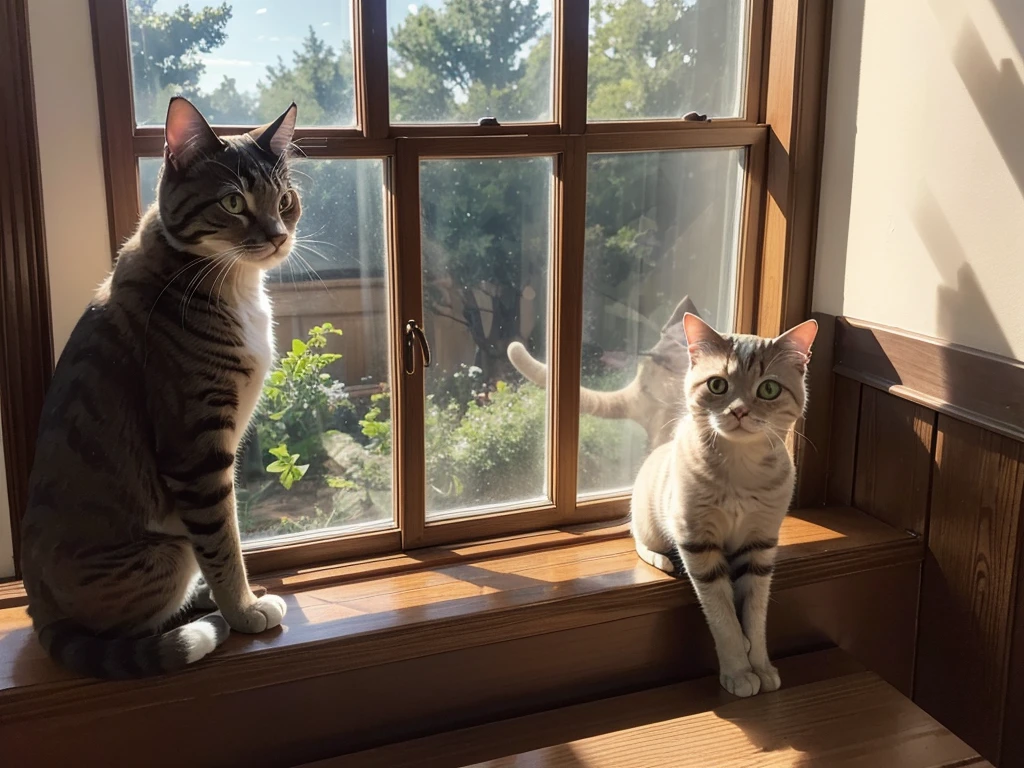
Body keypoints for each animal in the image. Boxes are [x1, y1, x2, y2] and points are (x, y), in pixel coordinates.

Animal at [20, 96, 299, 679]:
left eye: (285, 199)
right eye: (234, 201)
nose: (278, 236)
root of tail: (39, 610)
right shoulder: (196, 449)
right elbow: (222, 541)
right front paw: (243, 609)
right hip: (168, 554)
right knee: (141, 620)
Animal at [626, 313, 819, 696]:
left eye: (769, 389)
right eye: (717, 385)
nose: (740, 410)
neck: (740, 469)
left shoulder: (761, 547)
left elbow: (755, 615)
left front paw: (760, 664)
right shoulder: (697, 541)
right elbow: (723, 614)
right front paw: (739, 671)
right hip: (649, 521)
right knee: (640, 540)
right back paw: (660, 558)